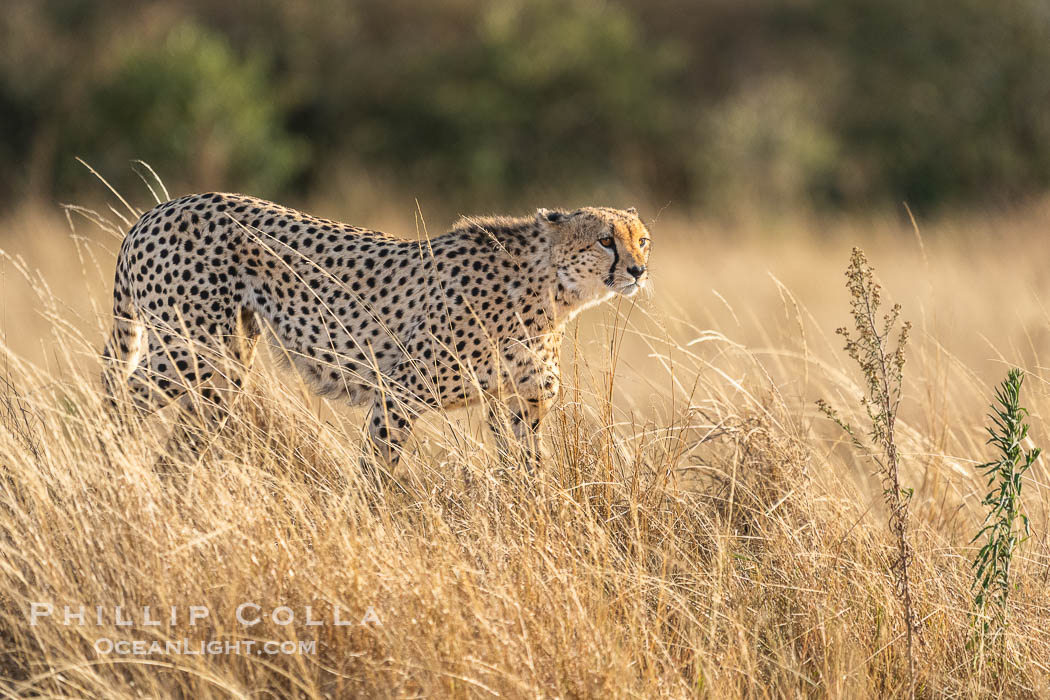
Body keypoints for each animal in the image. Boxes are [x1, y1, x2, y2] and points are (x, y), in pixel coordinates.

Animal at [102, 194, 651, 474]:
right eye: (606, 240)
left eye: (642, 240)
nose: (640, 270)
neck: (552, 294)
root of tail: (160, 209)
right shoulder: (399, 393)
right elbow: (378, 472)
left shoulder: (517, 408)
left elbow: (529, 474)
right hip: (193, 352)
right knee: (119, 404)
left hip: (222, 364)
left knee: (177, 444)